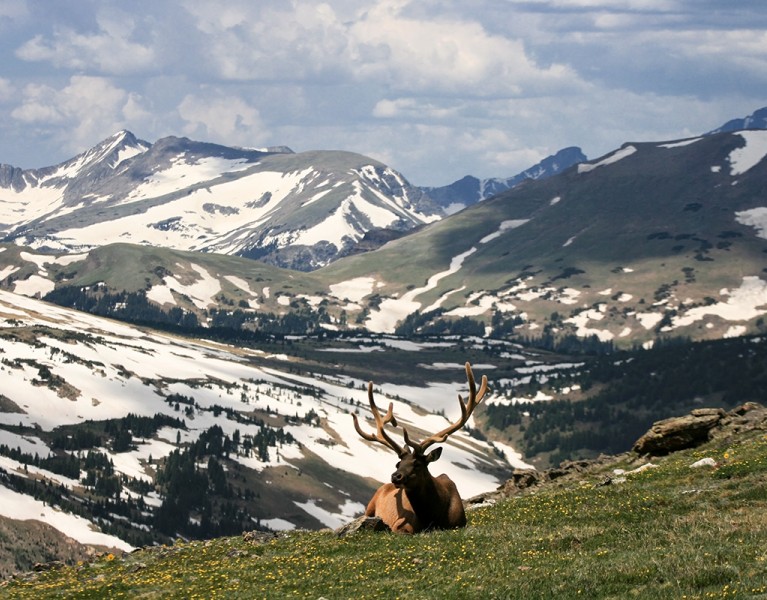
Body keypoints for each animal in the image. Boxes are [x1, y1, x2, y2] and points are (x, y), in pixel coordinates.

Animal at [352, 364, 488, 532]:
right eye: (398, 464)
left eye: (417, 463)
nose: (395, 476)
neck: (433, 517)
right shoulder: (399, 525)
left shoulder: (460, 522)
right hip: (370, 506)